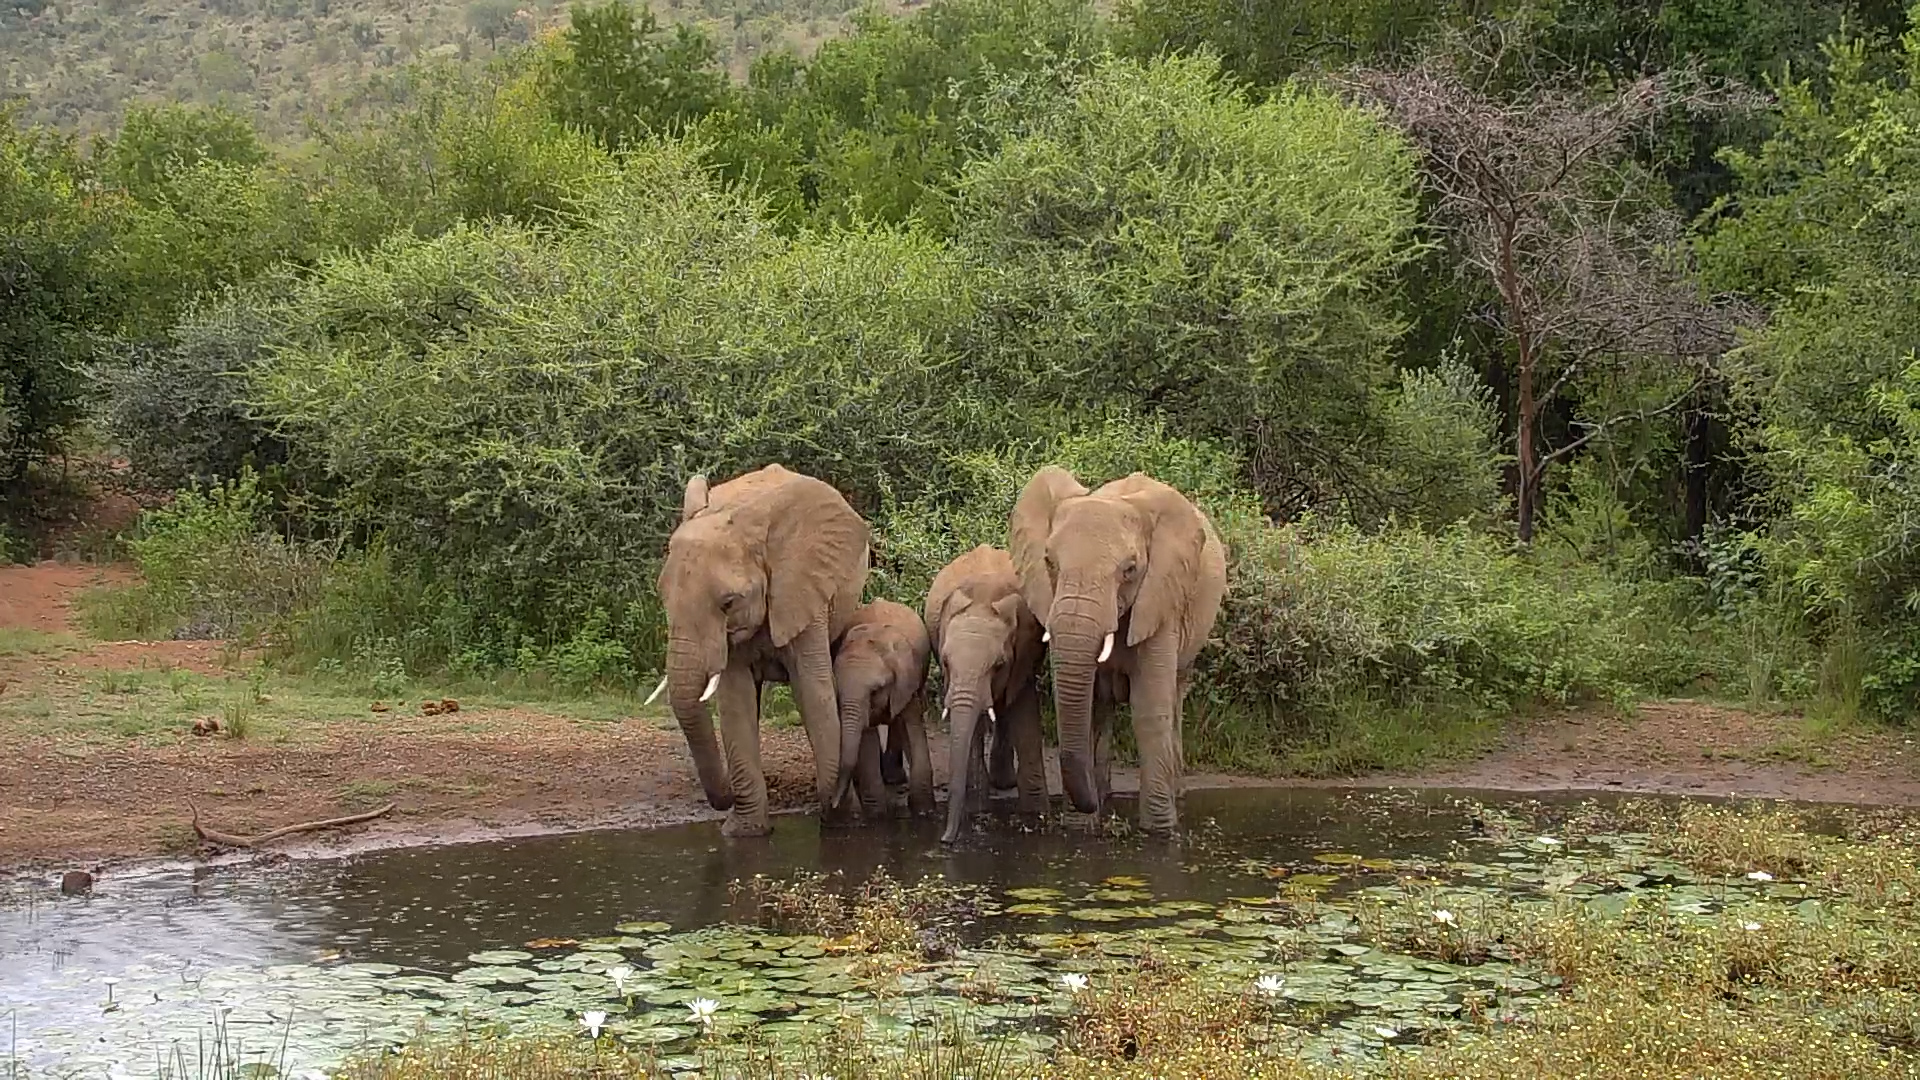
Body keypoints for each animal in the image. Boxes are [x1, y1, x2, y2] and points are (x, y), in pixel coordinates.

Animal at [648, 464, 870, 837]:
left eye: (728, 603)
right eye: (662, 597)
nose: (724, 797)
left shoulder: (801, 590)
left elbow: (814, 692)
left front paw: (840, 822)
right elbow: (735, 700)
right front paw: (744, 833)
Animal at [833, 599, 934, 820]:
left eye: (876, 690)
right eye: (837, 691)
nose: (834, 804)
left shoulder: (907, 679)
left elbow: (912, 727)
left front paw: (924, 812)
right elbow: (866, 739)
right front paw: (877, 817)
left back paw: (894, 778)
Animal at [925, 545, 1049, 844]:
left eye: (999, 665)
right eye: (945, 662)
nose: (945, 840)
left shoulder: (1023, 651)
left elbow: (1024, 710)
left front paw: (1036, 816)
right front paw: (978, 807)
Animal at [1009, 467, 1227, 835]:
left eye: (1130, 570)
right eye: (1049, 561)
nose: (1086, 802)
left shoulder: (1160, 596)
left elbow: (1149, 706)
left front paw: (1159, 832)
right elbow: (1085, 704)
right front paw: (1081, 827)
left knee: (1175, 695)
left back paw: (1175, 793)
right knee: (1103, 707)